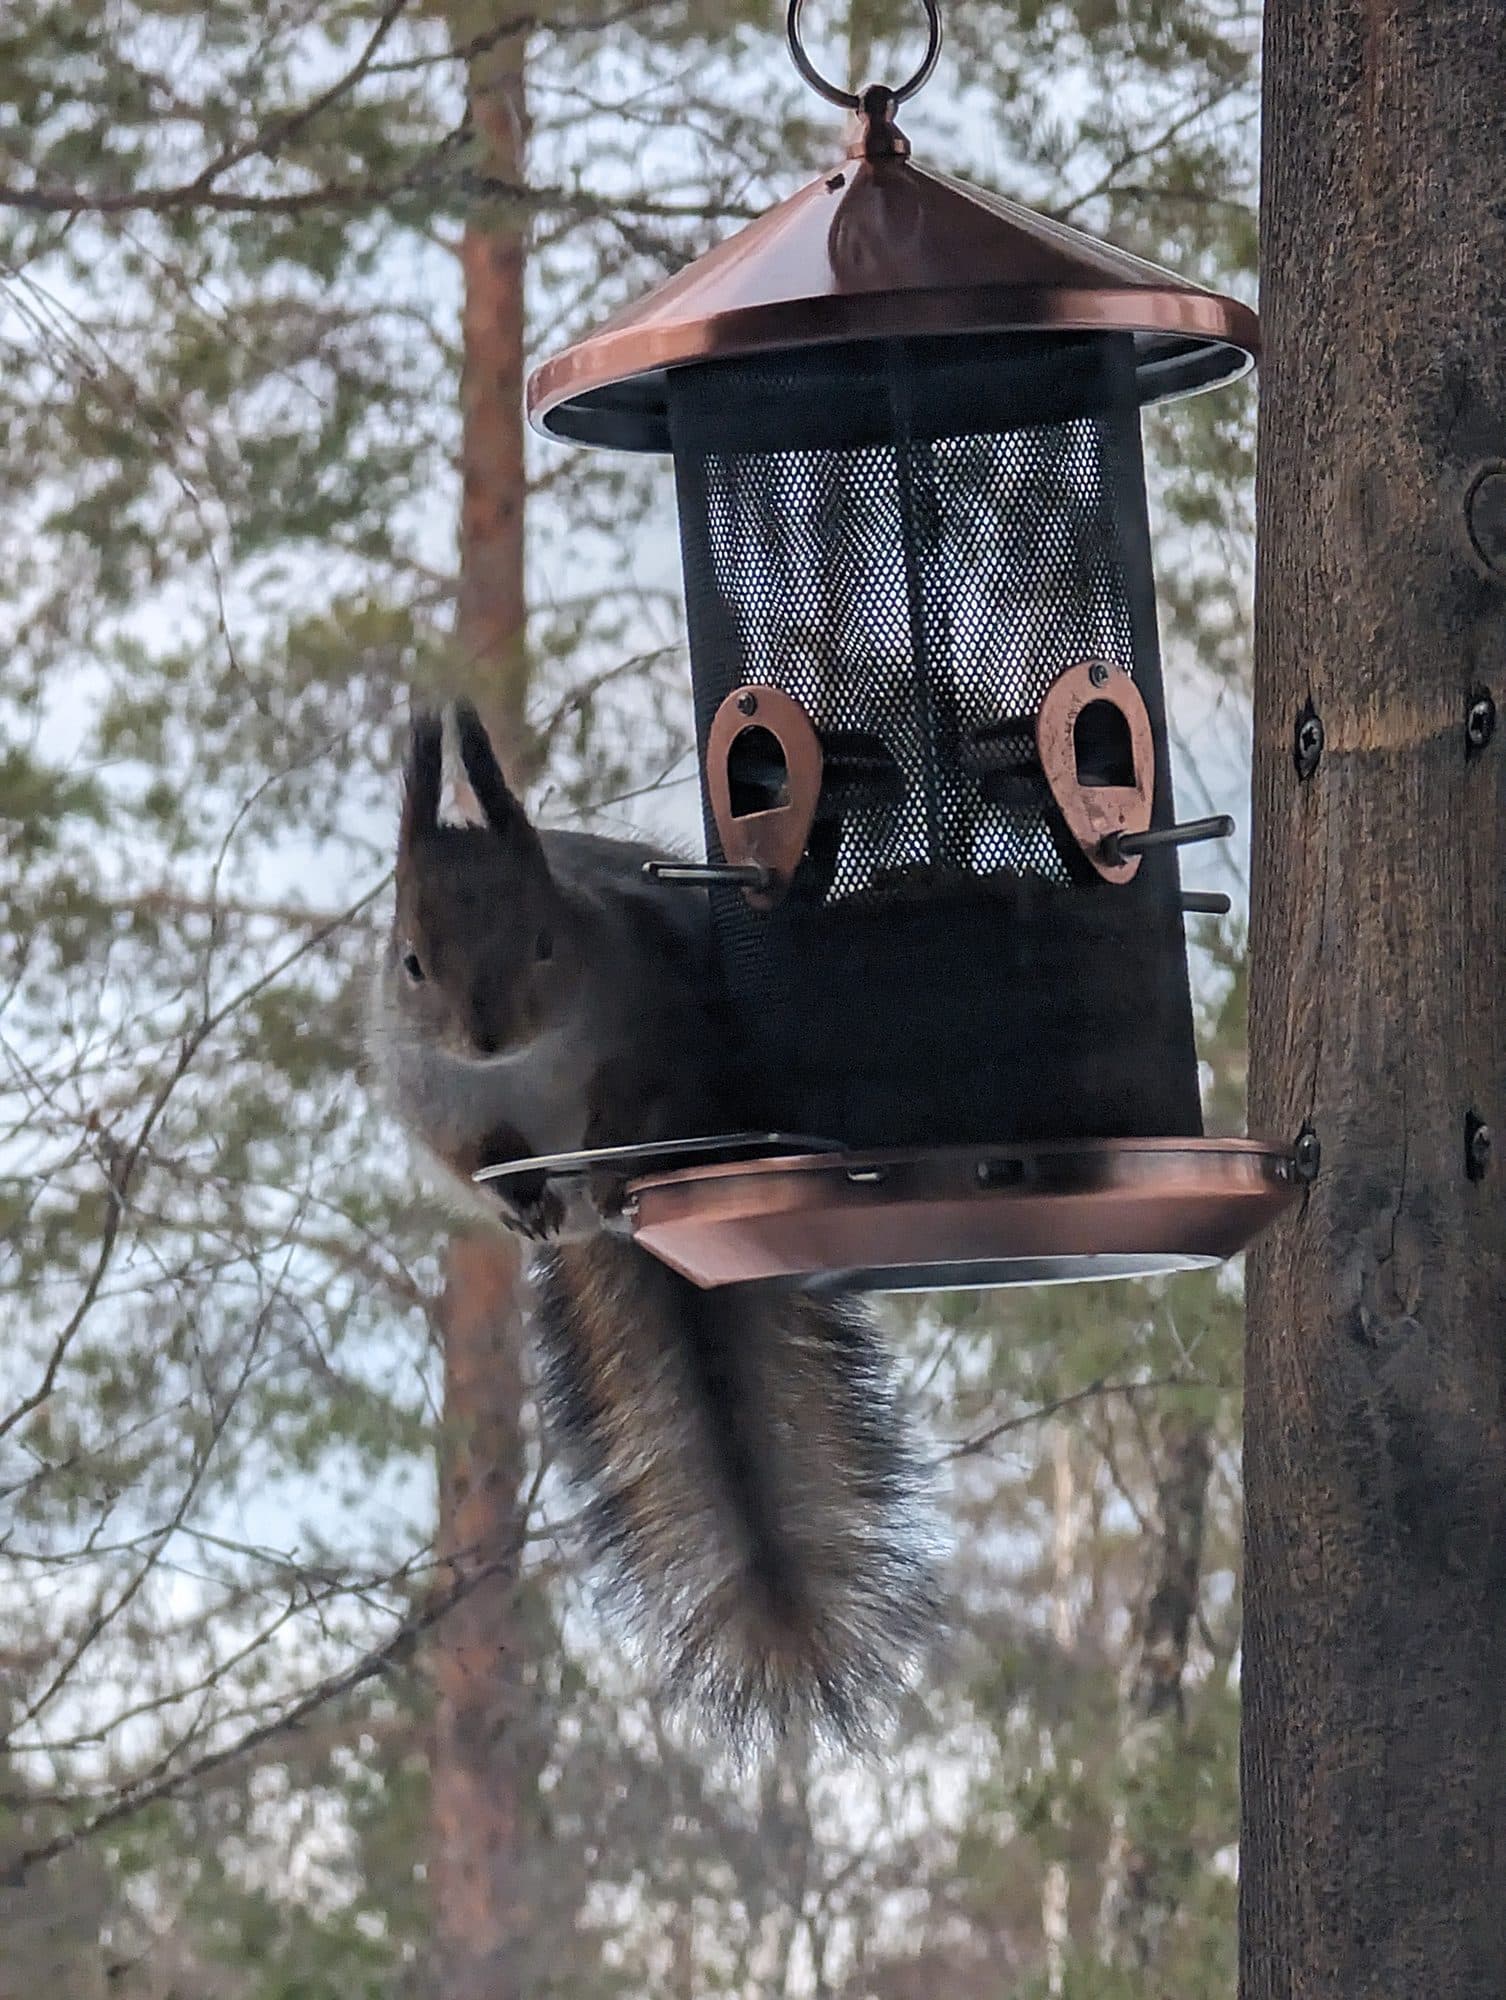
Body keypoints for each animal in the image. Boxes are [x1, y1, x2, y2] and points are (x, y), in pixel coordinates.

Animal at [367, 700, 940, 1750]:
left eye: (545, 941)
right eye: (411, 962)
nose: (486, 1036)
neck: (524, 1069)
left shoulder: (648, 1032)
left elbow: (630, 1109)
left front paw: (604, 1162)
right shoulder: (437, 1103)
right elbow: (474, 1161)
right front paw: (519, 1204)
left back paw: (615, 1190)